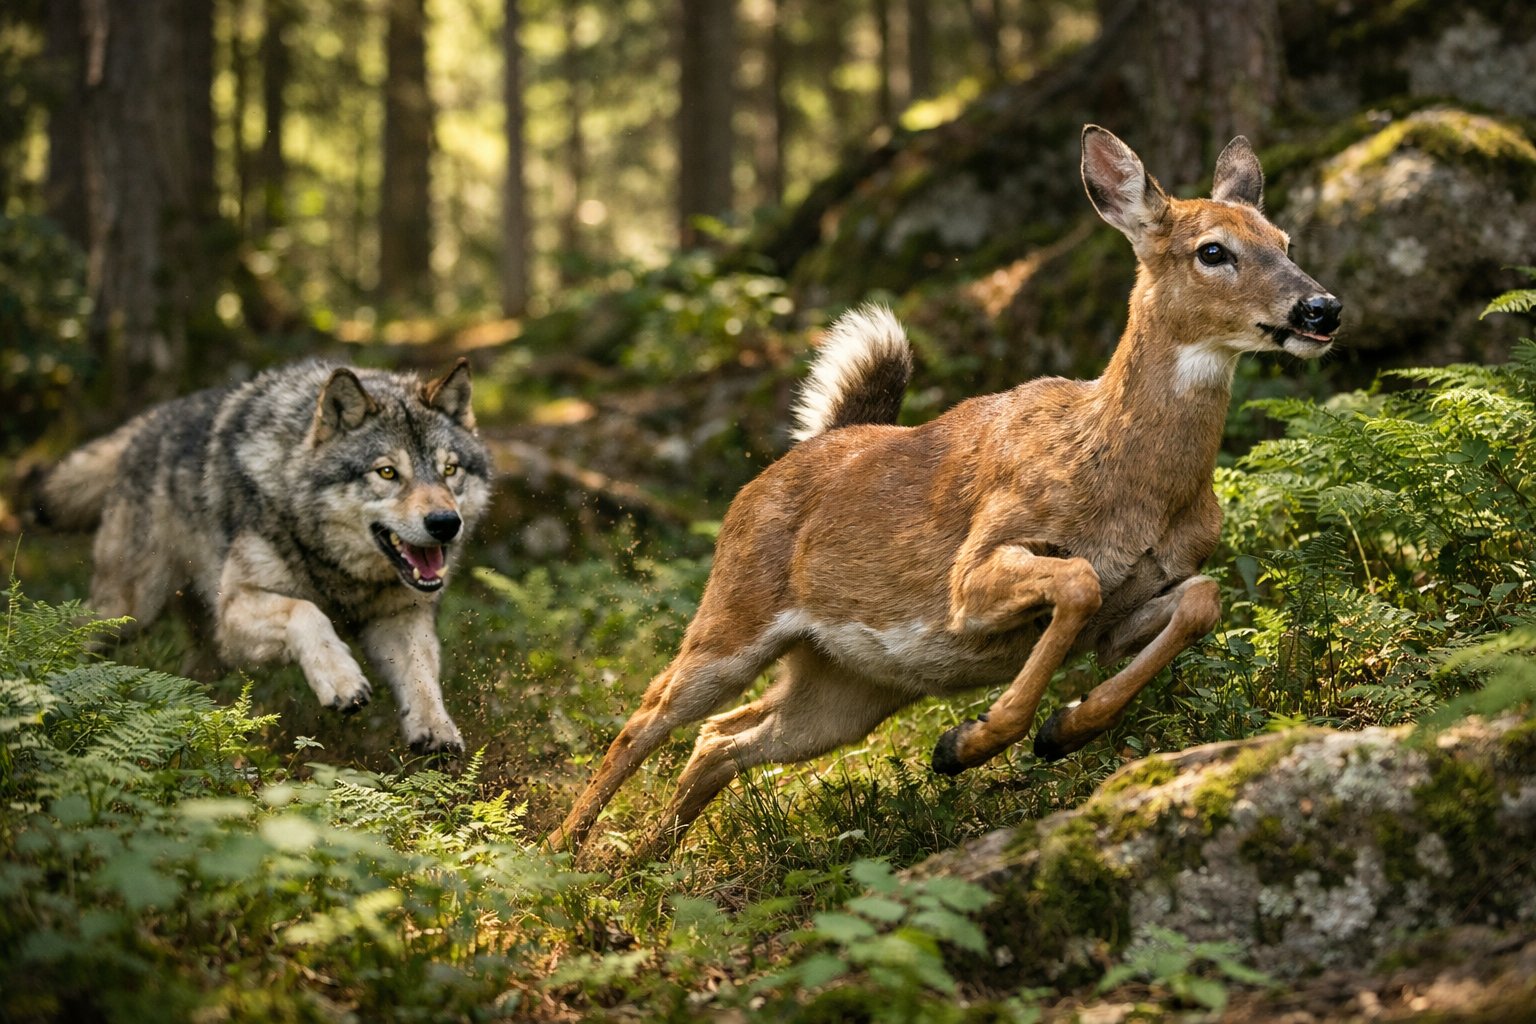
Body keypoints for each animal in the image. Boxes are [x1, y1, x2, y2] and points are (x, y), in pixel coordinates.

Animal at [549, 124, 1342, 859]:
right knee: (646, 718)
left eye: (1285, 238)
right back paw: (558, 859)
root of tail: (798, 454)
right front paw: (972, 742)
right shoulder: (976, 567)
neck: (1131, 485)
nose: (1321, 309)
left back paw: (644, 871)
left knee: (721, 739)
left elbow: (1201, 600)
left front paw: (1063, 730)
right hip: (734, 613)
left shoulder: (1131, 608)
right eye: (1212, 250)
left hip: (851, 686)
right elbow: (1078, 580)